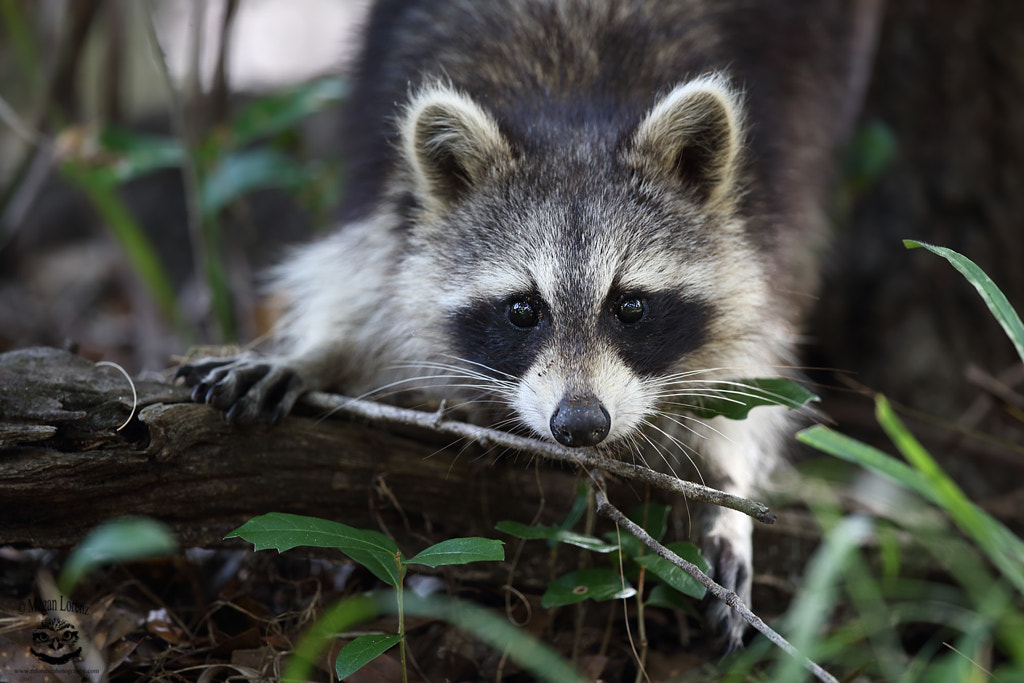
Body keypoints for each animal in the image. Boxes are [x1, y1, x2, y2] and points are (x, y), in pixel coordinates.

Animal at [176, 0, 872, 647]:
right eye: (522, 311)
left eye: (631, 308)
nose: (581, 425)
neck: (577, 115)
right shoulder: (394, 189)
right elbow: (372, 273)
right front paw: (317, 349)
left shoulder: (766, 207)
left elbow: (749, 361)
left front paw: (729, 488)